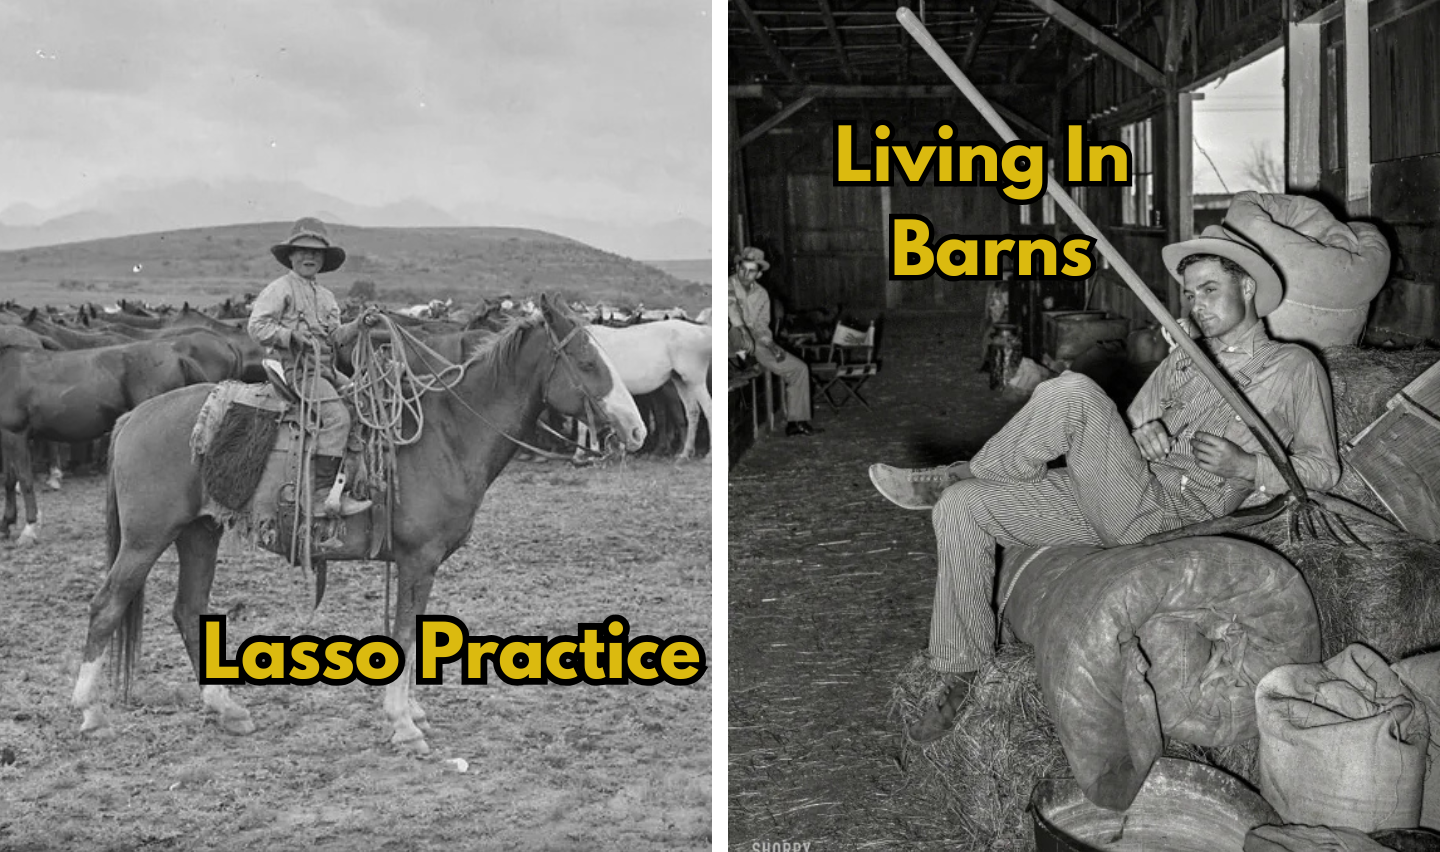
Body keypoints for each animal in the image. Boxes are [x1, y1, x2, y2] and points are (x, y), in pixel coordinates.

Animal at [73, 296, 648, 754]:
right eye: (586, 361)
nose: (637, 429)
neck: (448, 434)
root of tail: (134, 417)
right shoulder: (418, 559)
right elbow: (407, 633)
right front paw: (403, 724)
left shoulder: (421, 564)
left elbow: (413, 632)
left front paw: (410, 712)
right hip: (147, 538)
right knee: (107, 606)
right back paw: (91, 711)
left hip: (199, 532)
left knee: (187, 609)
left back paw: (226, 709)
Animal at [587, 319, 711, 460]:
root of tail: (701, 330)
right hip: (681, 380)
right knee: (693, 411)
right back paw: (685, 453)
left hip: (696, 380)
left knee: (708, 409)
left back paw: (708, 456)